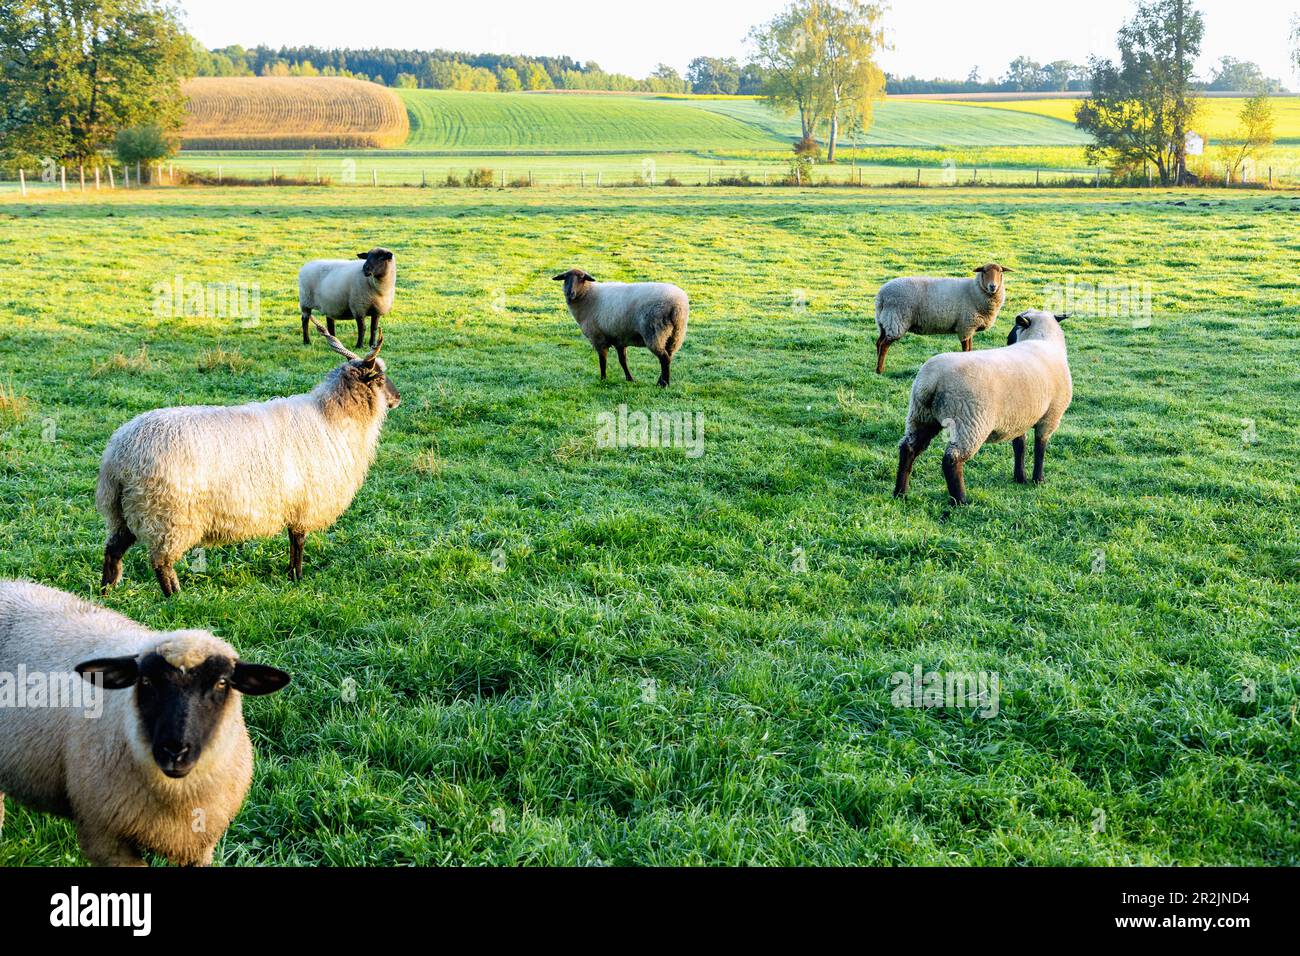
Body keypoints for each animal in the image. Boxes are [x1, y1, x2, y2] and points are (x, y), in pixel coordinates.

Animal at [95, 319, 397, 598]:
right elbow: (298, 541)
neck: (333, 417)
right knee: (161, 564)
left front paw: (291, 575)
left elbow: (292, 540)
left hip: (125, 511)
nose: (398, 398)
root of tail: (119, 456)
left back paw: (106, 592)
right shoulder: (305, 502)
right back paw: (176, 597)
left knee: (112, 550)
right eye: (380, 379)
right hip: (167, 518)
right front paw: (297, 577)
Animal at [551, 267, 691, 387]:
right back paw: (661, 381)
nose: (569, 293)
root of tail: (677, 306)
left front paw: (603, 379)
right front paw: (630, 379)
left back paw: (664, 384)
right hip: (675, 334)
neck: (588, 295)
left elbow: (602, 361)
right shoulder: (619, 338)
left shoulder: (598, 338)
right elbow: (622, 361)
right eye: (565, 278)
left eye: (581, 278)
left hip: (654, 331)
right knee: (669, 356)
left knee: (664, 358)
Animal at [873, 267, 1013, 379]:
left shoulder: (969, 327)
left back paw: (877, 366)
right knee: (884, 345)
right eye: (984, 271)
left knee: (879, 342)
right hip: (896, 321)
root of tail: (881, 296)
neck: (973, 290)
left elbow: (970, 349)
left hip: (884, 321)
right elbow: (966, 349)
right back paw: (880, 370)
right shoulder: (965, 326)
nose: (992, 286)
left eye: (1000, 271)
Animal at [894, 312, 1076, 509]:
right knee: (952, 459)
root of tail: (931, 381)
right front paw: (1038, 480)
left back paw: (900, 493)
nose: (1008, 339)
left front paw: (1020, 477)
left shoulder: (1020, 417)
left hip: (921, 415)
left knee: (908, 448)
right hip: (969, 422)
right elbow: (1040, 448)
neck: (1043, 340)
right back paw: (960, 501)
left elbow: (1020, 445)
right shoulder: (1050, 417)